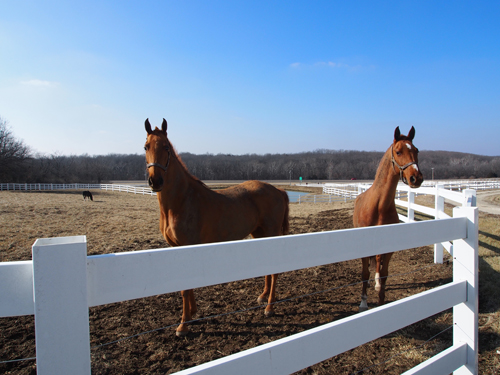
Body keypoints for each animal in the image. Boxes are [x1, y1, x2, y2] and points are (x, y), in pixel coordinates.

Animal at [143, 118, 290, 338]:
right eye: (146, 147)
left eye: (166, 147)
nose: (155, 181)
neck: (182, 200)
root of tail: (278, 190)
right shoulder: (177, 248)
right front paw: (192, 313)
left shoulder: (187, 246)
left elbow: (185, 288)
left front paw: (183, 326)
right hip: (259, 234)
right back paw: (263, 296)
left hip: (272, 233)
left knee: (275, 271)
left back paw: (270, 307)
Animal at [352, 126, 422, 312]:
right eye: (398, 151)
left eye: (416, 150)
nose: (416, 178)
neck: (379, 206)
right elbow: (364, 273)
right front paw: (363, 302)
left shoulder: (389, 248)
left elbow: (384, 273)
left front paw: (381, 300)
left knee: (377, 261)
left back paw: (376, 284)